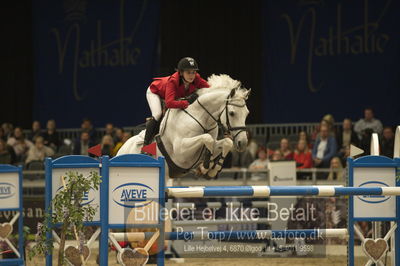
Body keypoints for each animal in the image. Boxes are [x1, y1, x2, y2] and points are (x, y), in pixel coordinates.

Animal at [117, 74, 250, 179]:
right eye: (232, 113)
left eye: (247, 113)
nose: (242, 143)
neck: (201, 117)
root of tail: (121, 149)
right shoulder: (180, 151)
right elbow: (207, 138)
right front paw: (206, 166)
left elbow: (226, 142)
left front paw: (211, 169)